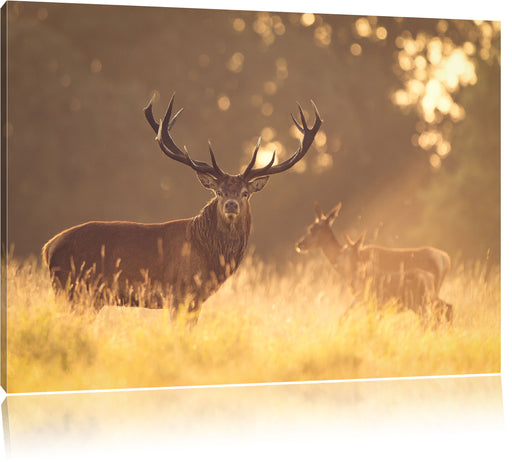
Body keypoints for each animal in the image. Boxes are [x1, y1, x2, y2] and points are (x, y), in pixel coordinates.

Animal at [45, 92, 324, 324]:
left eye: (245, 193)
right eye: (219, 192)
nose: (231, 204)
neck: (207, 255)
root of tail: (48, 247)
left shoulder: (195, 299)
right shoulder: (179, 292)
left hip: (85, 296)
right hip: (72, 290)